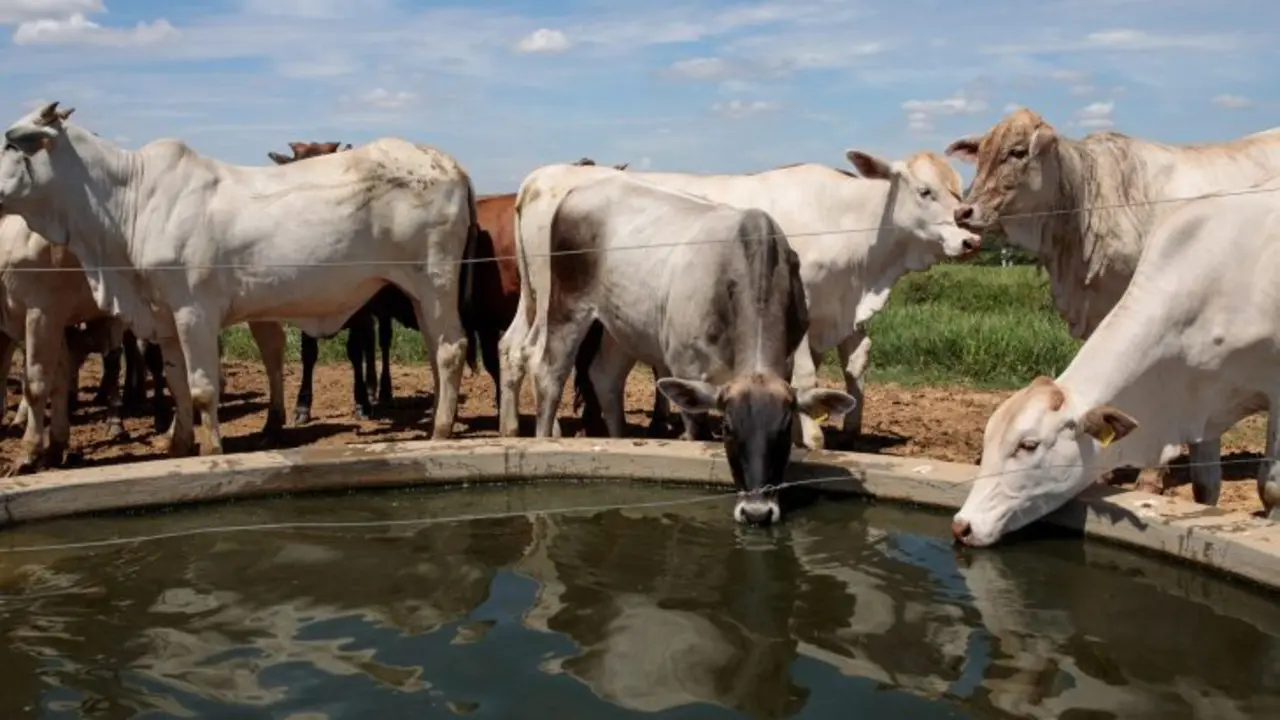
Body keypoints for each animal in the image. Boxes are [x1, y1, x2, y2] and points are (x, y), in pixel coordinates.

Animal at [266, 141, 425, 425]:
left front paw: (361, 400)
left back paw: (382, 391)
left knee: (381, 341)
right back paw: (373, 388)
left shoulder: (359, 311)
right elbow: (309, 353)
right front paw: (302, 405)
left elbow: (353, 350)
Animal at [497, 151, 979, 447]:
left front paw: (849, 430)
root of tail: (540, 179)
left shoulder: (842, 312)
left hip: (572, 308)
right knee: (537, 356)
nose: (970, 239)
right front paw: (814, 438)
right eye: (925, 191)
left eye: (959, 190)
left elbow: (856, 363)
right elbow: (805, 375)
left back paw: (515, 428)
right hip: (555, 300)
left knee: (520, 351)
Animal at [527, 172, 858, 525]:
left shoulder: (787, 359)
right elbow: (697, 431)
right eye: (727, 428)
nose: (757, 512)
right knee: (550, 374)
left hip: (620, 324)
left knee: (605, 377)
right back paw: (544, 439)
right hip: (567, 305)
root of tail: (577, 191)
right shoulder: (685, 367)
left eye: (783, 430)